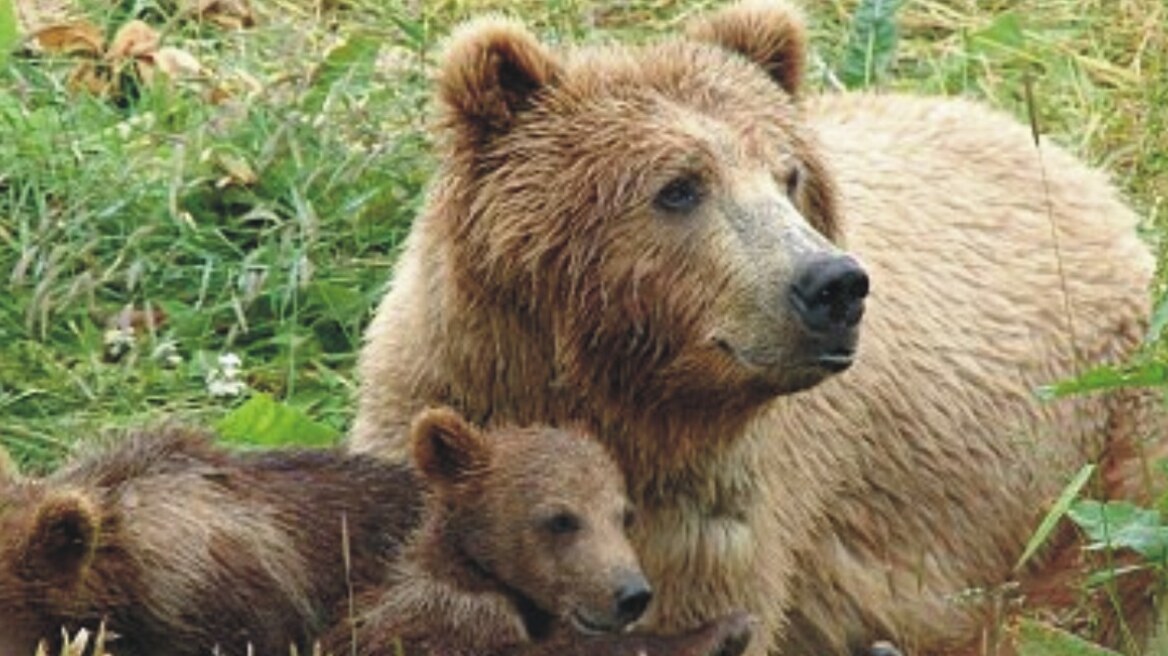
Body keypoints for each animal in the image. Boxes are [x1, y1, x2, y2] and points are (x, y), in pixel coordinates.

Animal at [348, 2, 1158, 648]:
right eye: (678, 187)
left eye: (788, 175)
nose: (834, 285)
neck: (615, 399)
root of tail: (1069, 164)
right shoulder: (442, 412)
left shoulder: (717, 522)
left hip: (1105, 425)